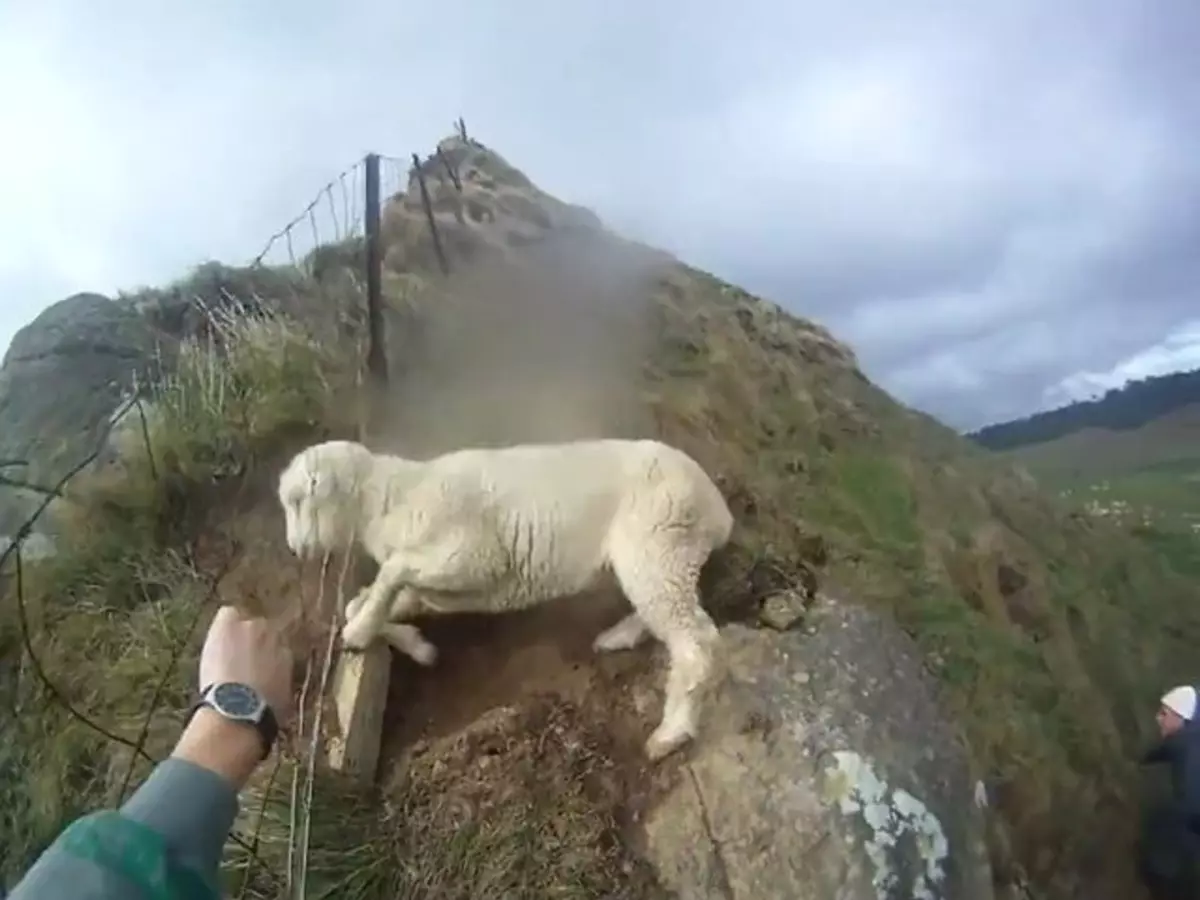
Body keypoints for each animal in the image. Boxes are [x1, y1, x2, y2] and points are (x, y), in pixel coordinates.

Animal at [278, 436, 729, 763]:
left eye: (300, 500)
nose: (295, 549)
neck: (389, 500)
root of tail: (718, 511)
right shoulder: (443, 587)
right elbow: (364, 600)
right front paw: (412, 644)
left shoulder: (473, 556)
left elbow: (391, 572)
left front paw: (360, 634)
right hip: (663, 557)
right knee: (669, 613)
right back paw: (620, 636)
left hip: (657, 543)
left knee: (698, 640)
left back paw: (671, 733)